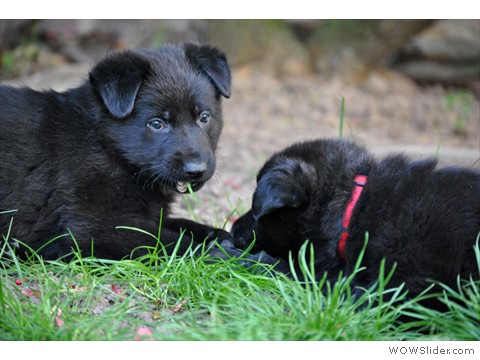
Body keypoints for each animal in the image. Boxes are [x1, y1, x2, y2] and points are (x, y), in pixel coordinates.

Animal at [0, 43, 232, 260]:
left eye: (203, 117)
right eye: (156, 123)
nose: (196, 170)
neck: (105, 146)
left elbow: (179, 224)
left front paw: (218, 234)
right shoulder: (96, 226)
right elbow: (168, 241)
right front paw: (219, 254)